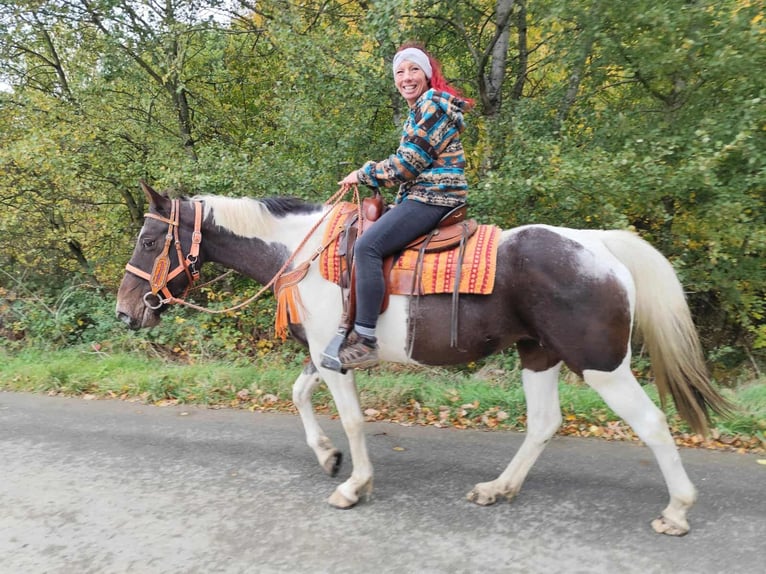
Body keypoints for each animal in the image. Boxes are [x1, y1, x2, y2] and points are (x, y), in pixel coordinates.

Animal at [116, 181, 731, 536]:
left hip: (602, 365)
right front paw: (328, 458)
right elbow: (297, 393)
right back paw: (497, 489)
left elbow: (353, 419)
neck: (303, 254)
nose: (126, 313)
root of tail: (601, 246)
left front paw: (353, 485)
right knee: (544, 423)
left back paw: (677, 511)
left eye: (148, 242)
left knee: (651, 424)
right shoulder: (324, 353)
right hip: (539, 355)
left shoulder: (333, 356)